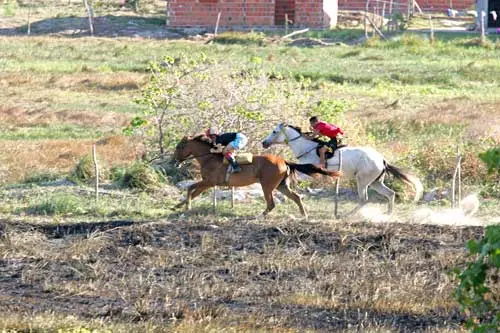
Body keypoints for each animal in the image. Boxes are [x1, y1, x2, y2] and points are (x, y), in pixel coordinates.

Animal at [174, 135, 342, 218]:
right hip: (281, 185)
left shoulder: (208, 182)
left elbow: (190, 188)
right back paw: (304, 215)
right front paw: (179, 206)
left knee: (271, 203)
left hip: (267, 185)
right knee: (296, 197)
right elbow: (194, 193)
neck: (208, 158)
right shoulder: (207, 183)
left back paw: (260, 215)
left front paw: (187, 206)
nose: (174, 161)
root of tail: (284, 161)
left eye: (179, 146)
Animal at [262, 123, 422, 214]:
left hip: (362, 181)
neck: (306, 147)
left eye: (274, 132)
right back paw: (388, 214)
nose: (264, 143)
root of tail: (382, 159)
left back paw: (347, 215)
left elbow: (295, 181)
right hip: (375, 182)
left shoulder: (310, 173)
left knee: (364, 199)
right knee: (390, 194)